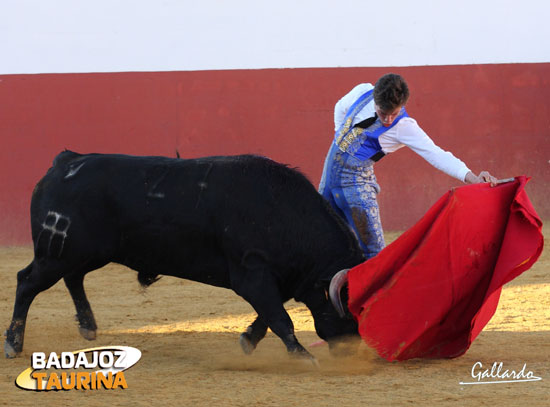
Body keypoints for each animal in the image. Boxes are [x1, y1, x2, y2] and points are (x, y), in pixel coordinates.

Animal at [5, 151, 366, 362]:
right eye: (351, 311)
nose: (356, 354)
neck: (283, 214)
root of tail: (65, 162)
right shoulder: (252, 275)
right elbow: (280, 318)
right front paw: (303, 356)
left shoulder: (282, 280)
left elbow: (269, 315)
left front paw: (248, 340)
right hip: (58, 252)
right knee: (27, 283)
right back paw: (13, 344)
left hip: (85, 252)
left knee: (73, 277)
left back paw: (88, 328)